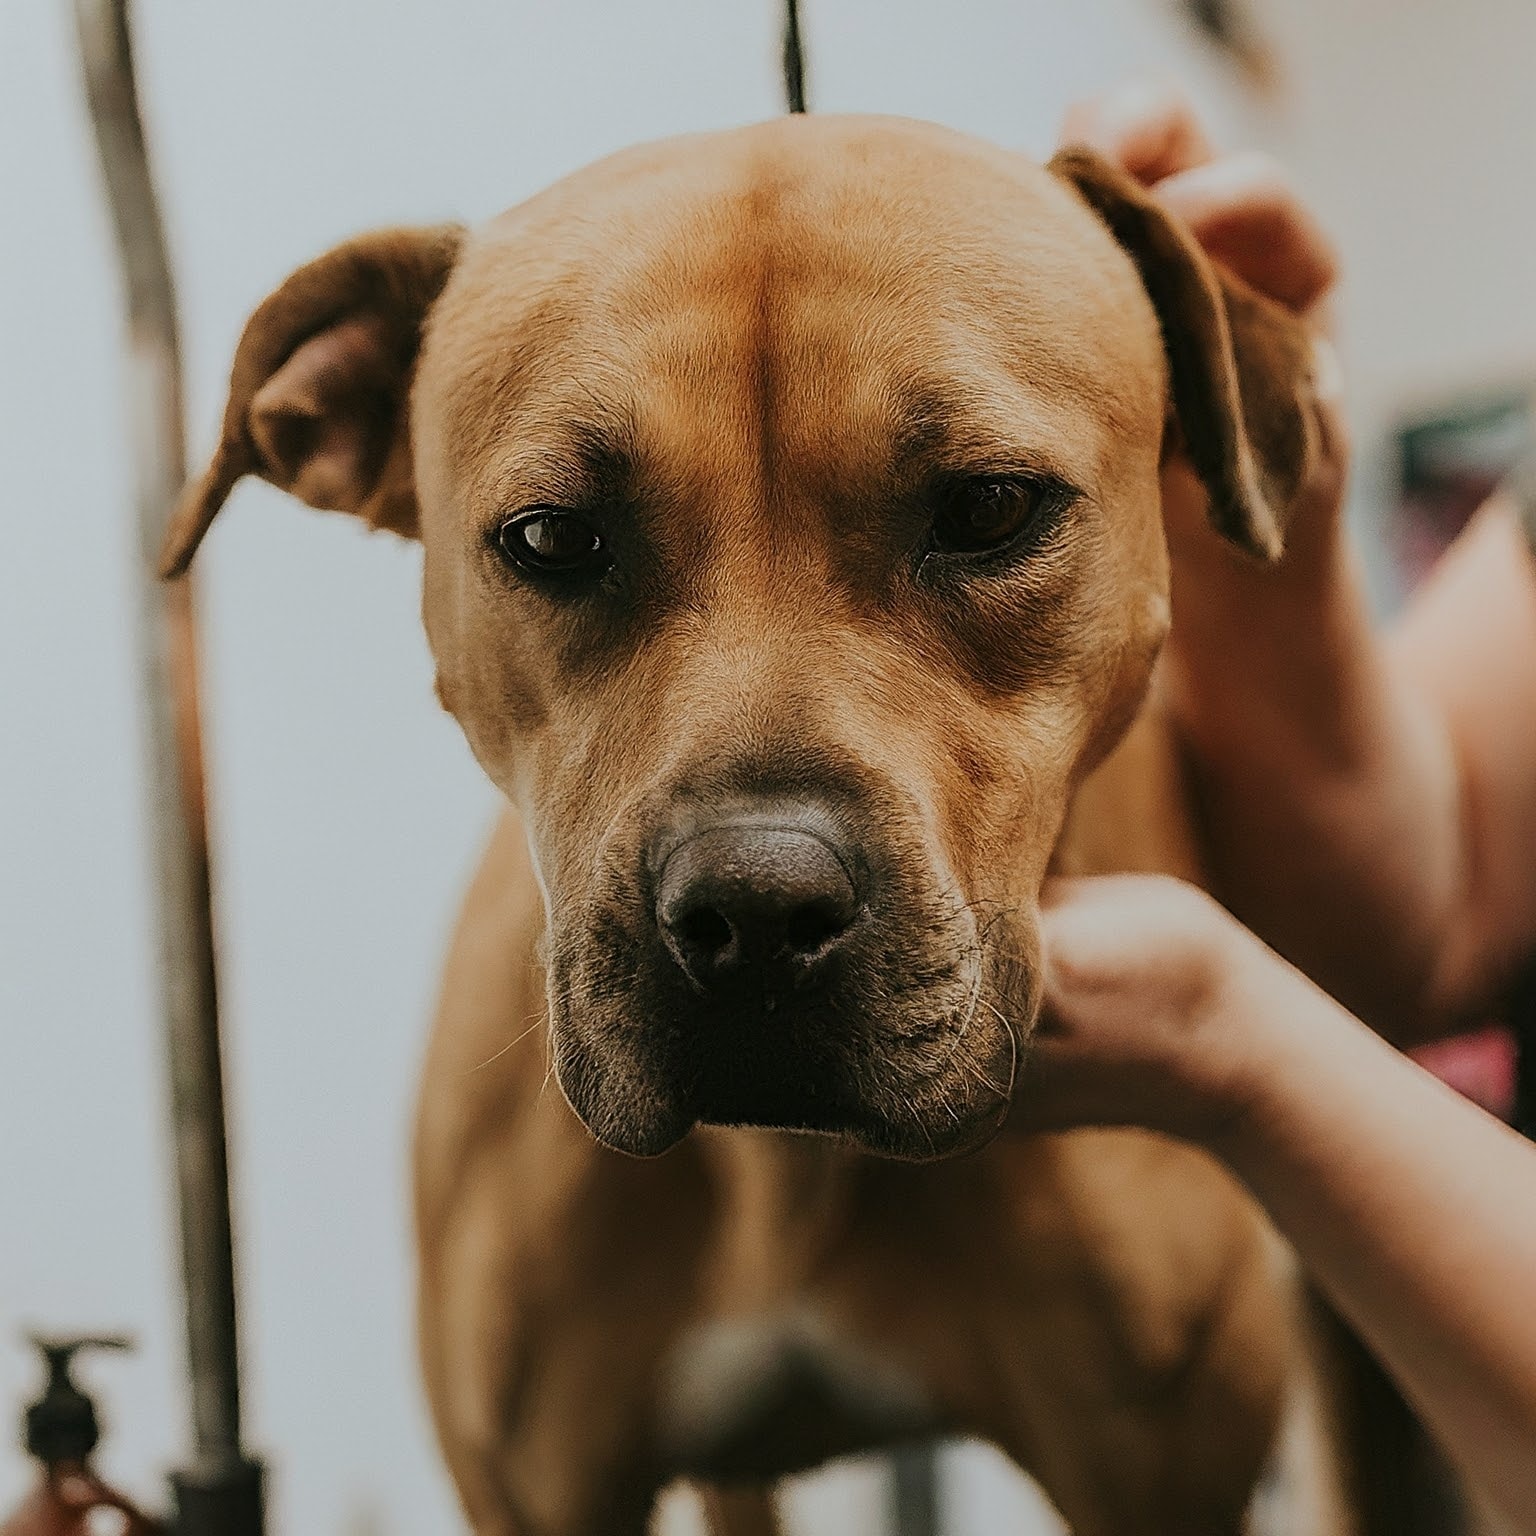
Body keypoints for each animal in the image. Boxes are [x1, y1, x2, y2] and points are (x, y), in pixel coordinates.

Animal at [162, 116, 1351, 1536]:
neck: (785, 1167)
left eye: (991, 508)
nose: (757, 912)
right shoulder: (534, 1490)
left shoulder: (1163, 1479)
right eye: (550, 536)